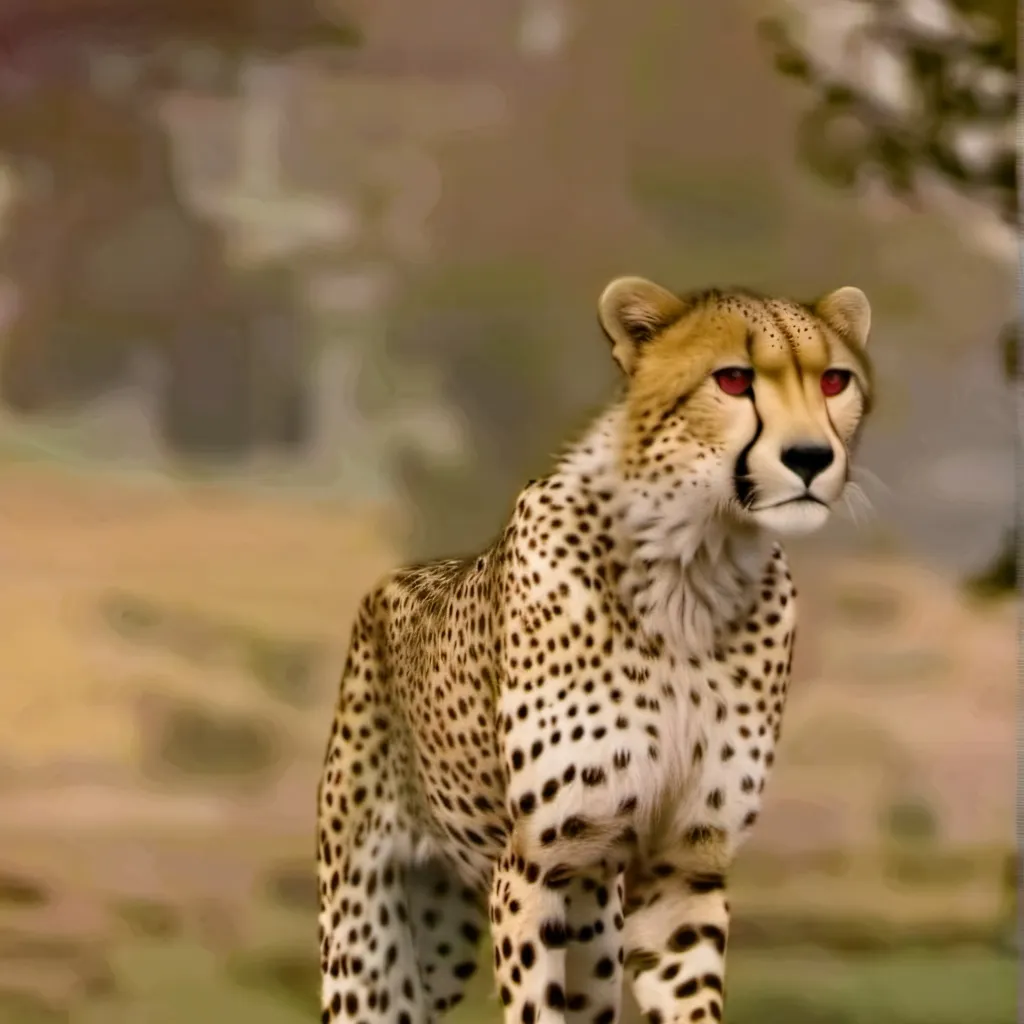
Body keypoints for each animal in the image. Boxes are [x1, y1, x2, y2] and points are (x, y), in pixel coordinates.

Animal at [317, 274, 875, 1024]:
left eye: (834, 380)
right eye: (733, 379)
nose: (811, 458)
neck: (692, 567)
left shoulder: (683, 865)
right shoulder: (533, 868)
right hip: (369, 945)